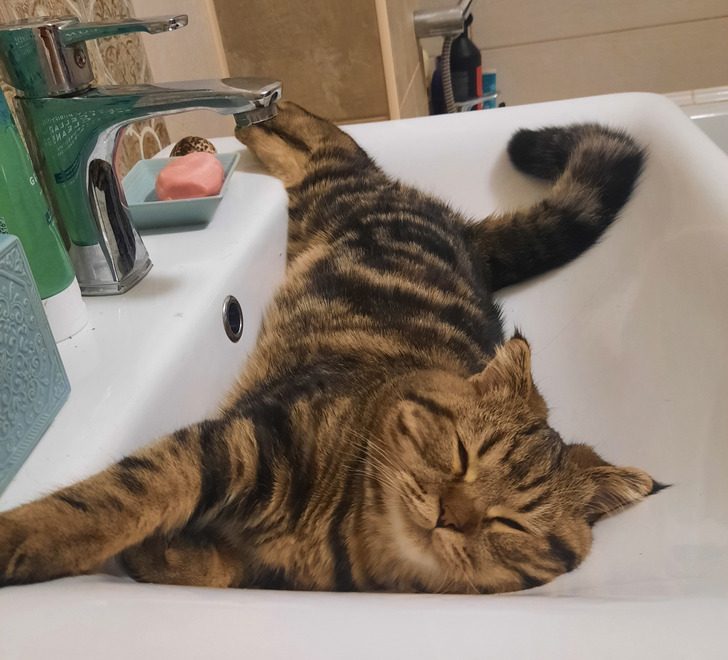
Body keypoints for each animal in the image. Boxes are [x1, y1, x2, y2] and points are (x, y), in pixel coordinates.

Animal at [0, 102, 661, 593]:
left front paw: (168, 556)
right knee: (323, 135)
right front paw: (25, 537)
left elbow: (221, 569)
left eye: (511, 522)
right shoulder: (239, 438)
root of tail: (466, 237)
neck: (337, 532)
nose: (451, 515)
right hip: (329, 182)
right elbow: (115, 497)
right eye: (461, 453)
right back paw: (246, 113)